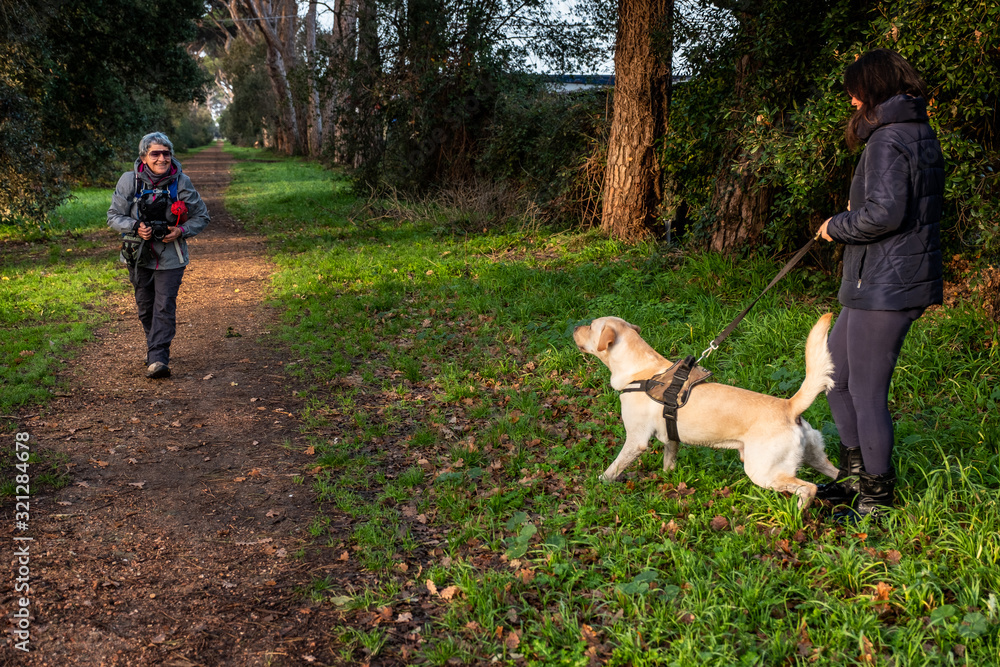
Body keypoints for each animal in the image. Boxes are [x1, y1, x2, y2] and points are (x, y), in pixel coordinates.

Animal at [576, 316, 840, 508]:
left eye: (590, 326)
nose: (576, 326)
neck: (641, 373)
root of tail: (789, 406)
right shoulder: (671, 438)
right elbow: (669, 462)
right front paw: (668, 480)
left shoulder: (636, 440)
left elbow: (614, 467)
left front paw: (600, 483)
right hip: (815, 457)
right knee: (838, 474)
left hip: (764, 471)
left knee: (809, 488)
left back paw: (797, 513)